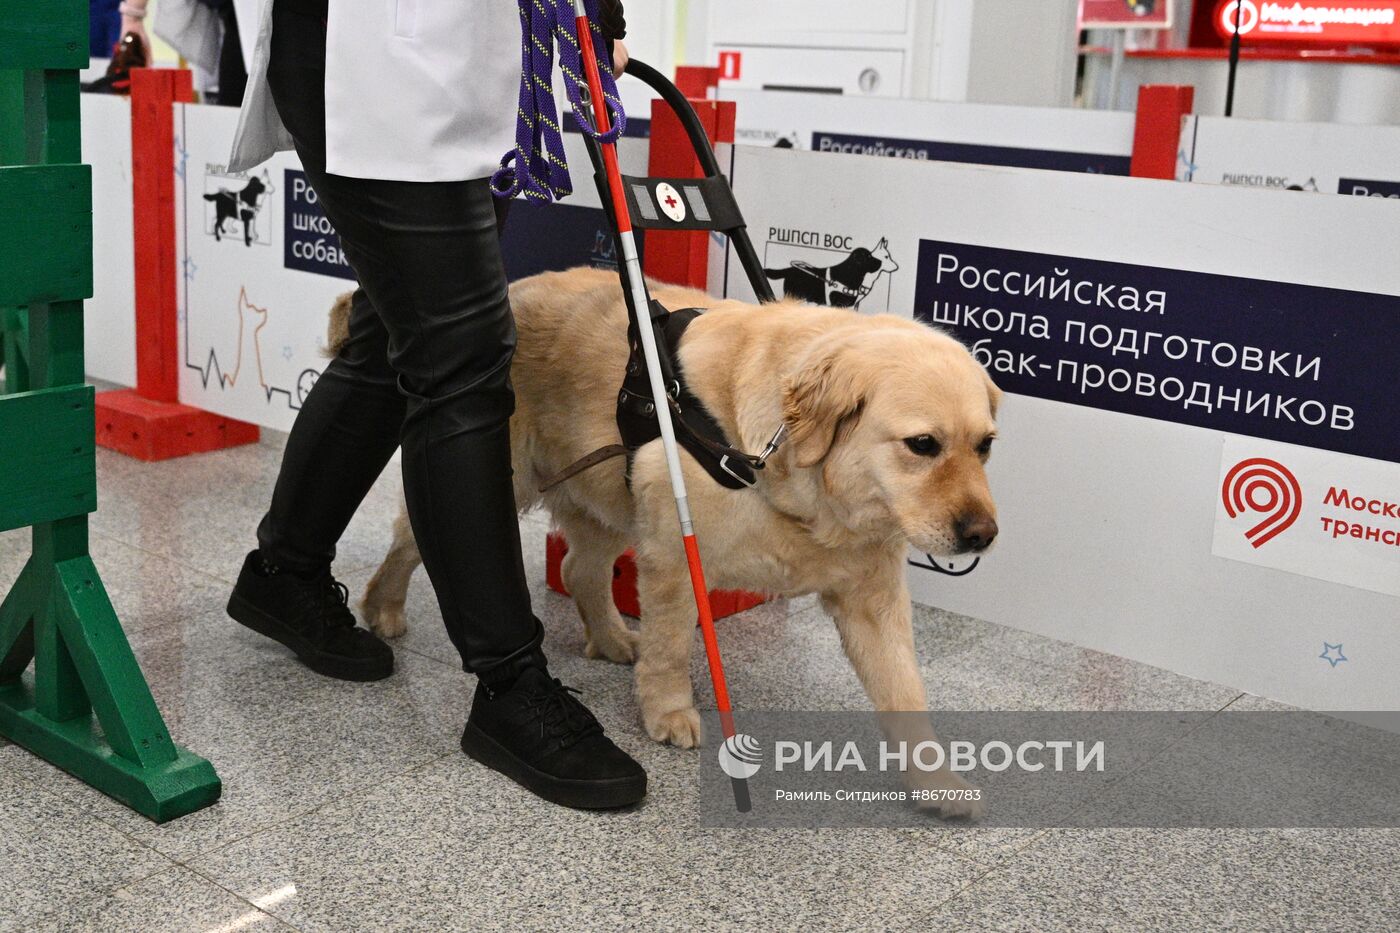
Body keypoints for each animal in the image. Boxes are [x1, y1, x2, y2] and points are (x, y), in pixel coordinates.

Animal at [343, 267, 1002, 812]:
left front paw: (935, 779)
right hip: (493, 480)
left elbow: (904, 689)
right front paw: (668, 711)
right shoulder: (674, 558)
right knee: (410, 544)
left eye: (985, 444)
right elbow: (670, 649)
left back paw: (612, 637)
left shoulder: (873, 597)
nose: (983, 536)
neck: (782, 470)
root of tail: (514, 289)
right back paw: (382, 608)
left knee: (580, 571)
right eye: (923, 445)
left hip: (610, 503)